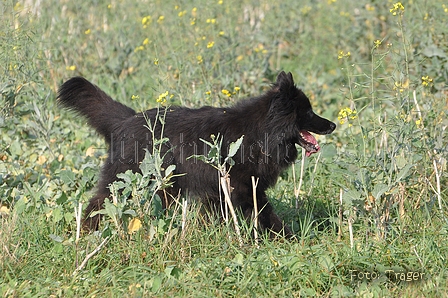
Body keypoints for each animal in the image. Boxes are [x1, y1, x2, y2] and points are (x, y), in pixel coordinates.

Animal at [57, 71, 334, 236]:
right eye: (309, 112)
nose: (332, 125)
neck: (260, 132)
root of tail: (125, 120)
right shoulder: (242, 187)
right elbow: (265, 213)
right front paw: (286, 236)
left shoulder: (221, 189)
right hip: (125, 178)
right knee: (98, 202)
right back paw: (88, 230)